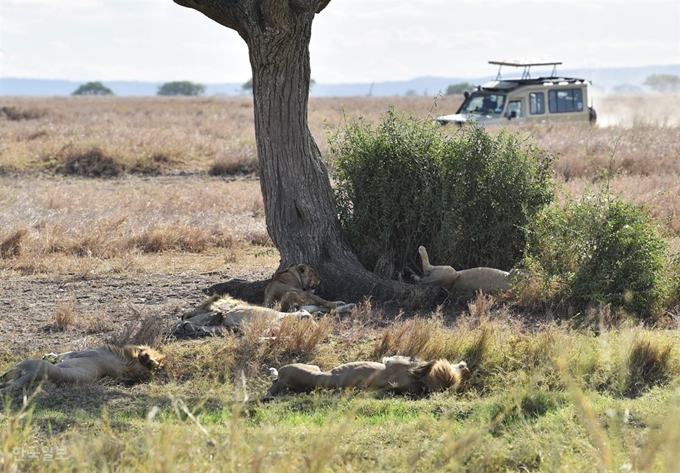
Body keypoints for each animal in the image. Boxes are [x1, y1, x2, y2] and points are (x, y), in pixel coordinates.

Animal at [0, 342, 165, 392]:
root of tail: (35, 375)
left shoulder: (77, 355)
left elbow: (65, 353)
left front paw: (49, 355)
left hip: (25, 364)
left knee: (5, 377)